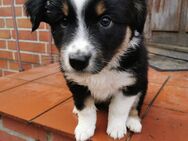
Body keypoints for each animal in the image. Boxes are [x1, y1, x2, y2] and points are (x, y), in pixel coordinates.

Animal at [25, 0, 148, 140]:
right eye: (64, 21)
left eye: (105, 21)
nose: (77, 61)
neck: (103, 70)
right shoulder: (77, 84)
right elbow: (85, 109)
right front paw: (84, 129)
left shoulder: (130, 83)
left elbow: (119, 108)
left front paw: (116, 129)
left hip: (142, 85)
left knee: (136, 105)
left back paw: (133, 122)